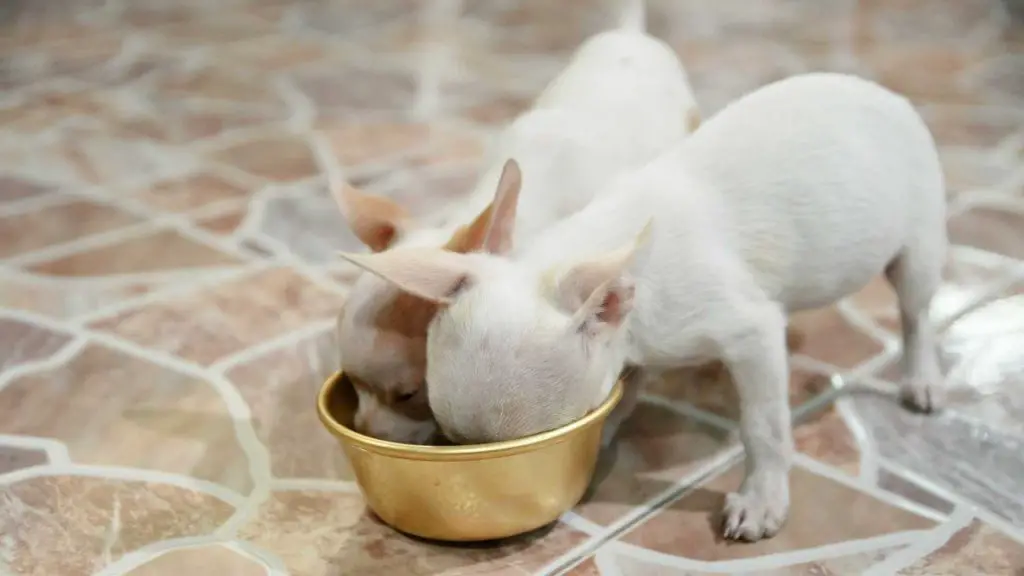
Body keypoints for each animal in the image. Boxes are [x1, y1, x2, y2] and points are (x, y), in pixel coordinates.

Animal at [339, 72, 946, 537]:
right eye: (446, 436)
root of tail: (880, 90)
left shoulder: (749, 333)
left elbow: (764, 426)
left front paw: (761, 498)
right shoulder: (637, 341)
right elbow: (629, 385)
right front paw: (610, 426)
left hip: (918, 247)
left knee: (916, 314)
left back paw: (922, 378)